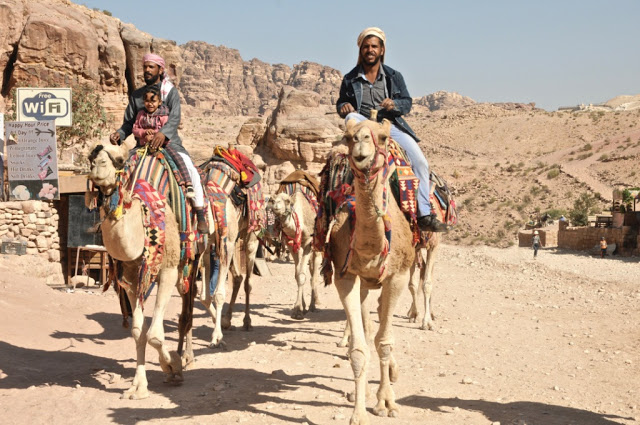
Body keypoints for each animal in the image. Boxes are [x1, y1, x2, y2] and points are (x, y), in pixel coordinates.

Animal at [88, 144, 192, 400]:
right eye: (91, 155)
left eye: (119, 159)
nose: (97, 165)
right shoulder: (132, 279)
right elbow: (138, 331)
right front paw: (138, 387)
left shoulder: (168, 270)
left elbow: (154, 334)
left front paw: (172, 366)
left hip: (194, 260)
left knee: (192, 306)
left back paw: (188, 356)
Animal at [322, 117, 418, 422]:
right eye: (348, 136)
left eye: (383, 137)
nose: (361, 145)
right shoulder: (346, 276)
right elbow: (359, 348)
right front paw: (358, 413)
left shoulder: (397, 276)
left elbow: (384, 342)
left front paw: (386, 402)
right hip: (363, 283)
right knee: (367, 325)